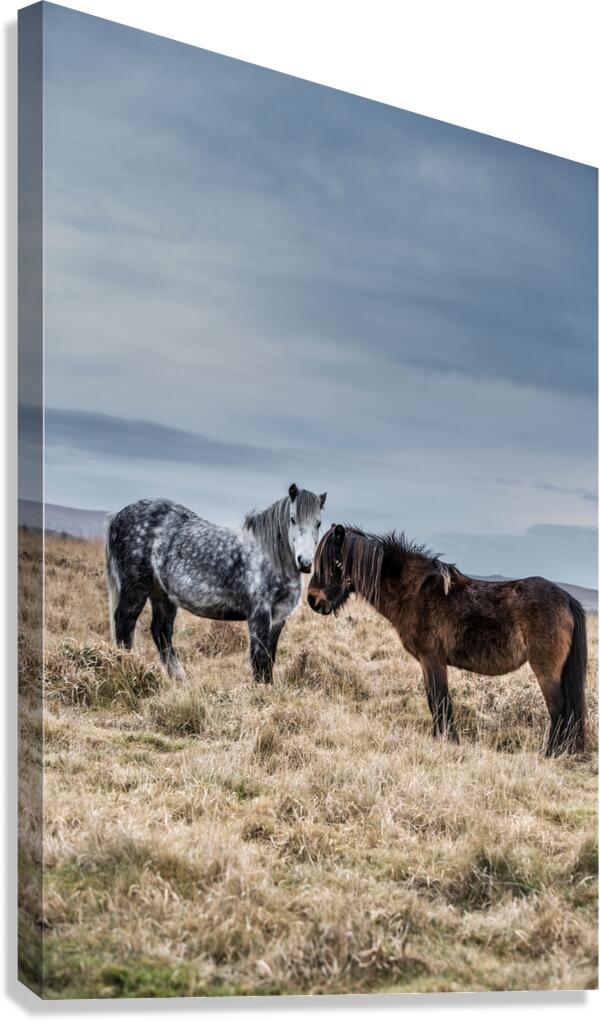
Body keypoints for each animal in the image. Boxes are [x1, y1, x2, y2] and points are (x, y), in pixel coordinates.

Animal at [106, 484, 327, 683]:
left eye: (318, 523)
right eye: (292, 518)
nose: (305, 562)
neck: (268, 556)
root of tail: (118, 517)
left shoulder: (279, 617)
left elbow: (269, 658)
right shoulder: (259, 614)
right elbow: (259, 658)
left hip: (162, 594)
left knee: (161, 631)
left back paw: (180, 679)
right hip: (135, 589)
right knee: (125, 624)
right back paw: (126, 667)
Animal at [307, 525, 587, 755]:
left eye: (333, 563)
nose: (312, 600)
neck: (413, 592)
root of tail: (566, 599)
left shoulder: (432, 659)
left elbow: (440, 700)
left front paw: (447, 740)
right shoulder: (427, 662)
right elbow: (435, 700)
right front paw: (441, 738)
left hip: (546, 670)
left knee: (559, 711)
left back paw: (551, 754)